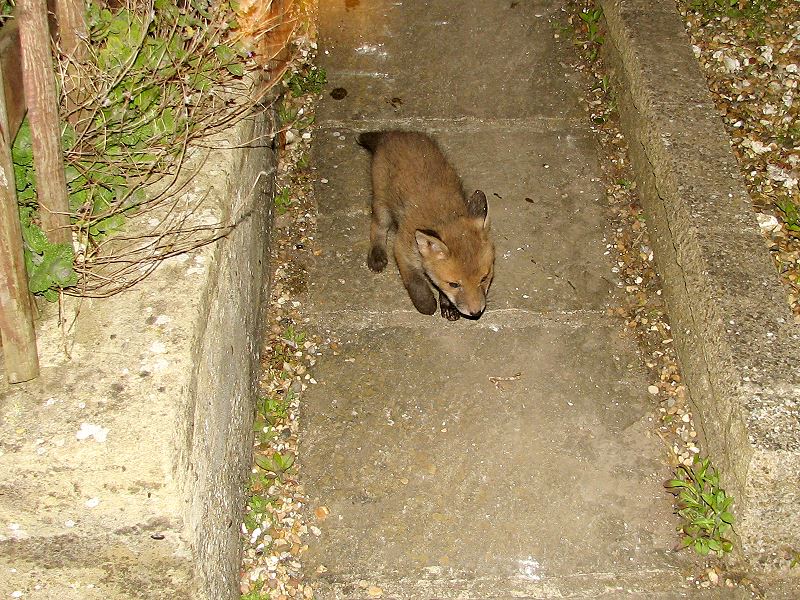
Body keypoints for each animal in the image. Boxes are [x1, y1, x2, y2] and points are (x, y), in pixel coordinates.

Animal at [357, 130, 495, 320]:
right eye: (454, 284)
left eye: (484, 278)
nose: (476, 313)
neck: (445, 216)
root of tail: (394, 134)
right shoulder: (402, 248)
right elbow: (415, 282)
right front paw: (427, 305)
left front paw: (447, 305)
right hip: (381, 203)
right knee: (377, 227)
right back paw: (377, 254)